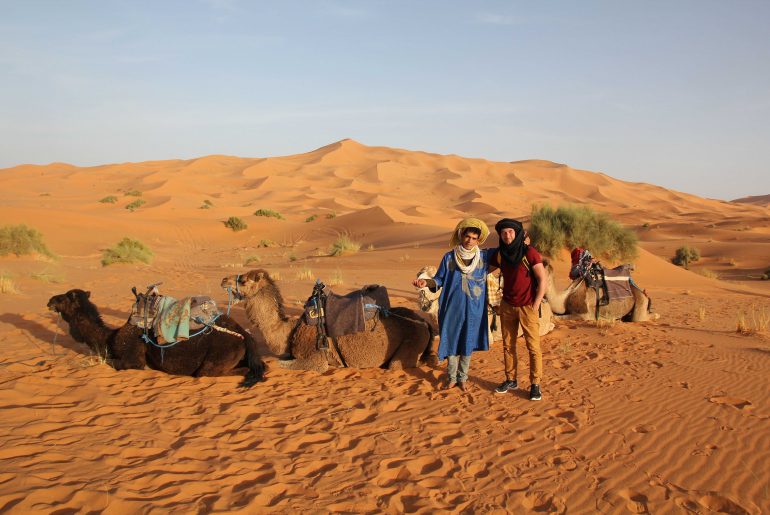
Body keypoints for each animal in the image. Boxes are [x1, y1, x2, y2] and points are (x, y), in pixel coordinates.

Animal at [48, 290, 266, 388]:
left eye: (65, 297)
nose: (50, 300)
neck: (111, 337)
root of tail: (246, 337)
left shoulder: (132, 360)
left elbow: (114, 363)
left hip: (215, 361)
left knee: (211, 373)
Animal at [219, 270, 436, 374]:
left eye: (244, 280)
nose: (223, 280)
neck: (290, 330)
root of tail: (424, 324)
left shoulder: (315, 359)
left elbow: (277, 364)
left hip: (412, 342)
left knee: (399, 365)